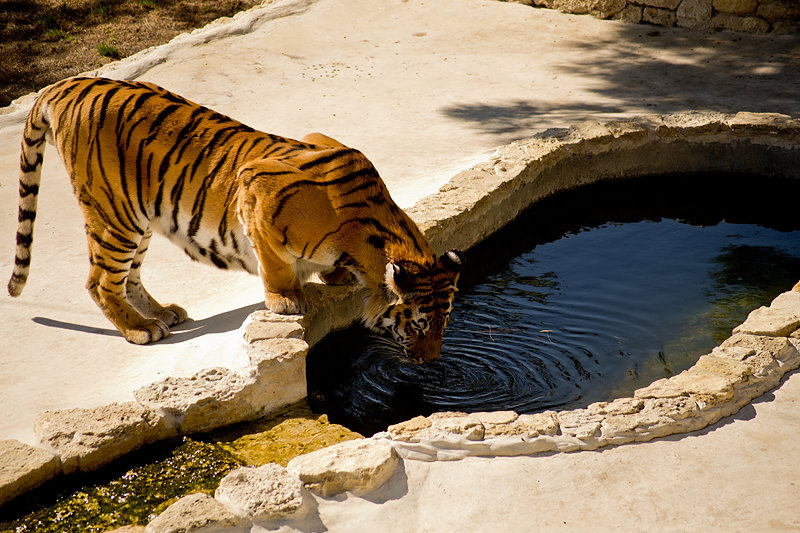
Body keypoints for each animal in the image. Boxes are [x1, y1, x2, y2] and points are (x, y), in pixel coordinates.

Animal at [7, 77, 462, 362]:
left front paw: (333, 276)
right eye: (418, 325)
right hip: (114, 215)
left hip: (137, 220)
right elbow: (275, 265)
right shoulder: (256, 185)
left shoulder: (317, 138)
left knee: (129, 278)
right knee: (100, 281)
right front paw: (287, 299)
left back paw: (161, 314)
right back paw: (140, 330)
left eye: (444, 323)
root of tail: (66, 84)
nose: (431, 362)